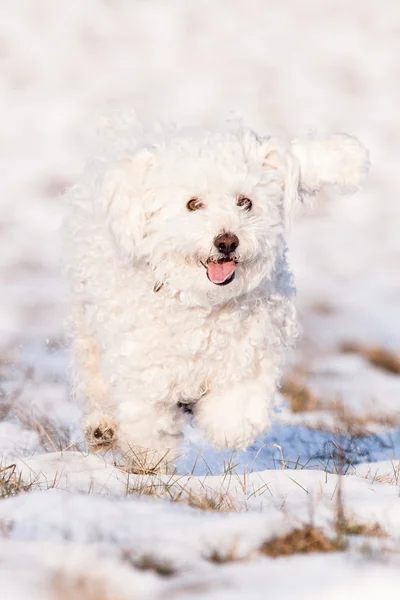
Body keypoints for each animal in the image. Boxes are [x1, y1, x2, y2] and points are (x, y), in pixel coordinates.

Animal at [63, 119, 368, 472]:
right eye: (193, 204)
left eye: (245, 202)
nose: (227, 241)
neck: (203, 302)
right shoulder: (143, 365)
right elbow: (149, 421)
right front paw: (148, 458)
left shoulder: (250, 355)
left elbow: (236, 416)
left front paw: (225, 427)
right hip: (89, 333)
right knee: (95, 382)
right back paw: (102, 428)